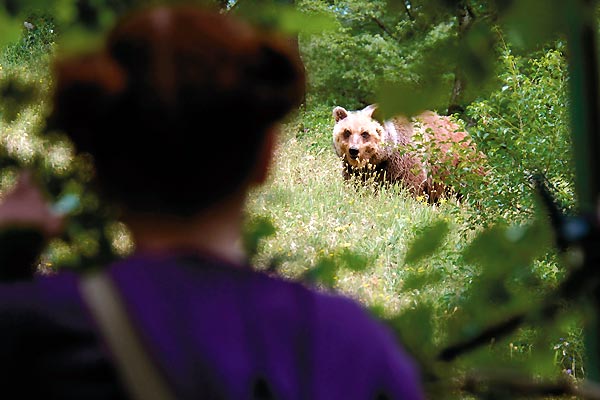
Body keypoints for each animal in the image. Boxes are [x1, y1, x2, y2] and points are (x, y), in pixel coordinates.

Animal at [332, 104, 482, 202]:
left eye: (365, 133)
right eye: (347, 132)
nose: (353, 150)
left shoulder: (405, 159)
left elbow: (409, 185)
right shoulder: (355, 169)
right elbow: (354, 183)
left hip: (462, 167)